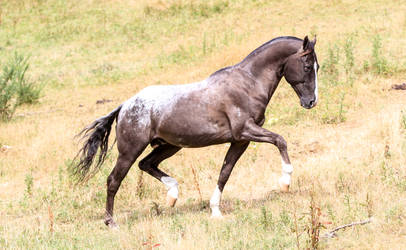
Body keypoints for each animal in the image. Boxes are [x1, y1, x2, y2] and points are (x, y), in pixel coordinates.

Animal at [74, 35, 318, 229]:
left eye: (317, 67)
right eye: (307, 67)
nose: (311, 102)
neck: (247, 84)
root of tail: (125, 105)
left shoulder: (240, 141)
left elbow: (225, 172)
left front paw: (215, 211)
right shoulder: (246, 131)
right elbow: (280, 140)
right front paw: (285, 182)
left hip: (170, 146)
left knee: (146, 164)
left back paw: (172, 196)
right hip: (130, 151)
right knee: (114, 180)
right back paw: (111, 222)